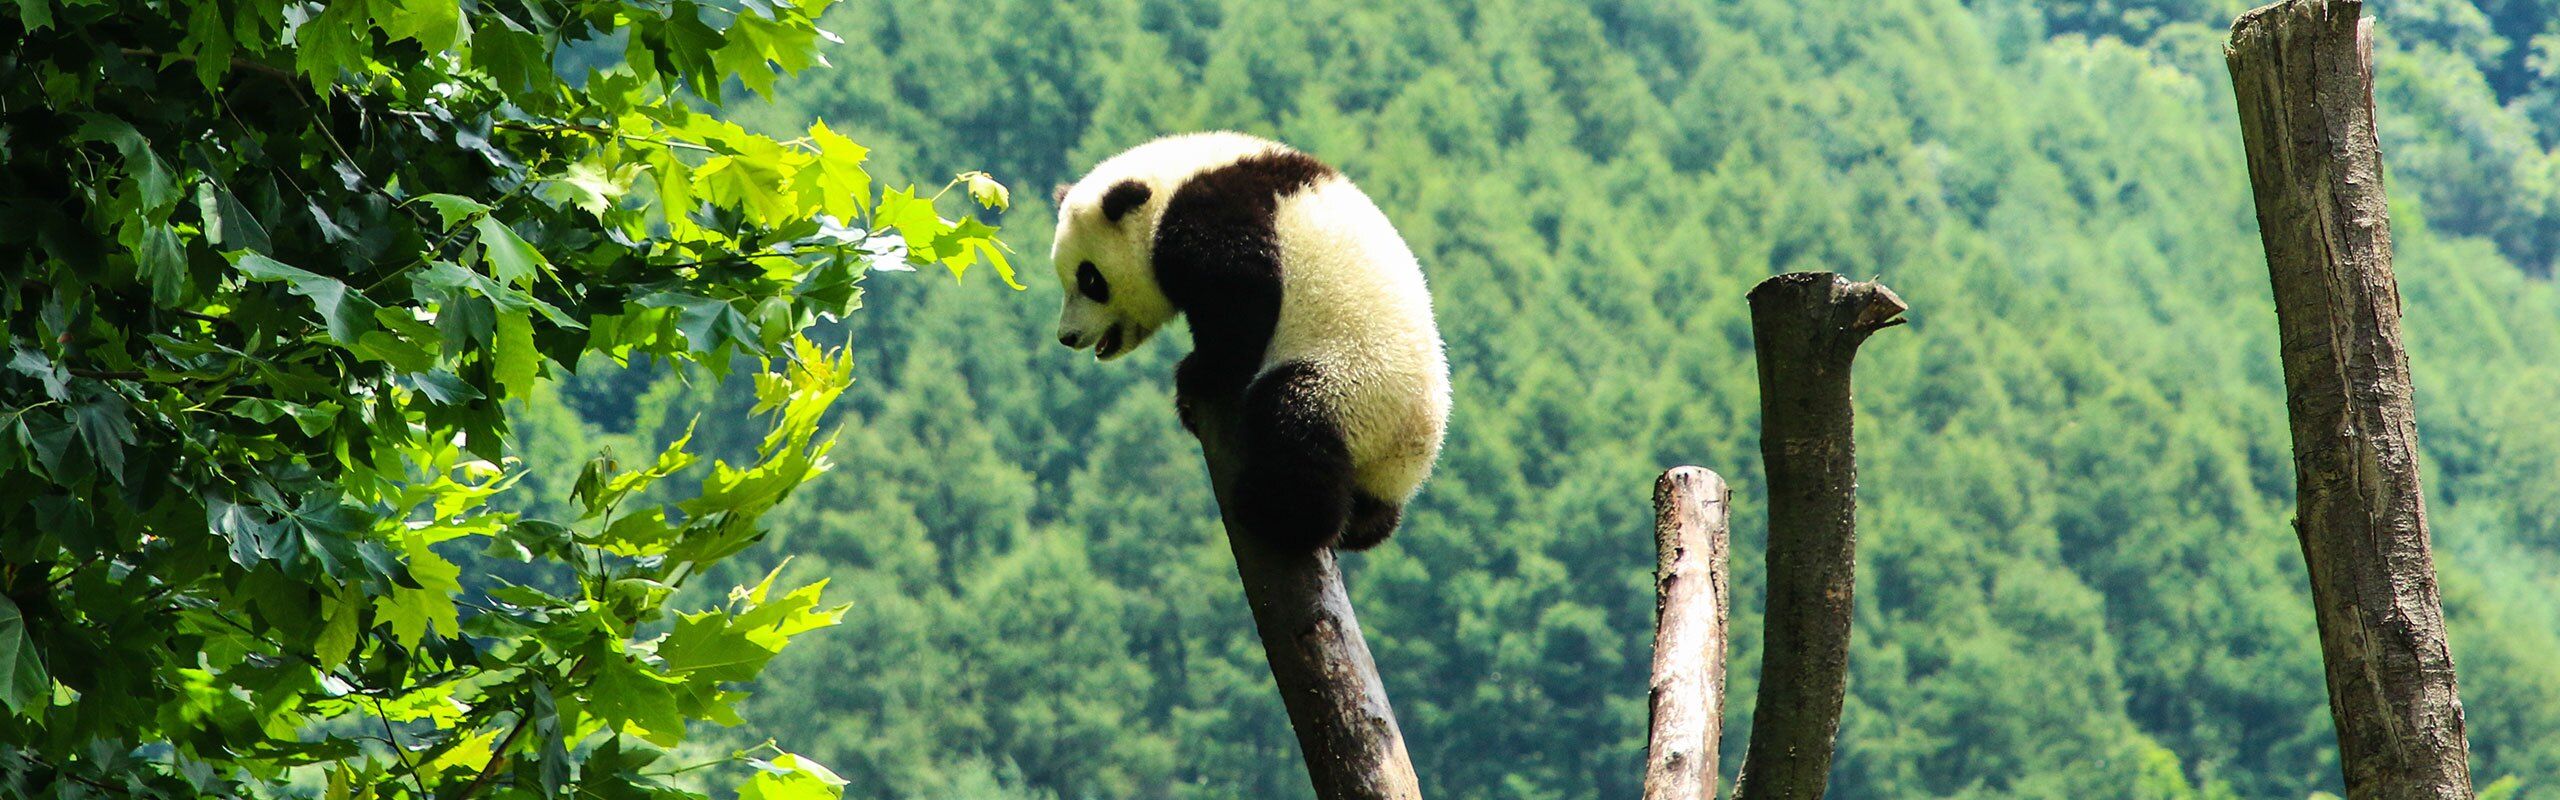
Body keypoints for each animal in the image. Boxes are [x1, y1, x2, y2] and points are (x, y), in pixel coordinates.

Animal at [1051, 132, 1449, 551]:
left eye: (1090, 280)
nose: (1068, 336)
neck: (1169, 185)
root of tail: (1406, 458)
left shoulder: (1211, 219)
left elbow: (1245, 298)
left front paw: (1198, 372)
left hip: (1353, 382)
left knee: (1292, 419)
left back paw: (1274, 512)